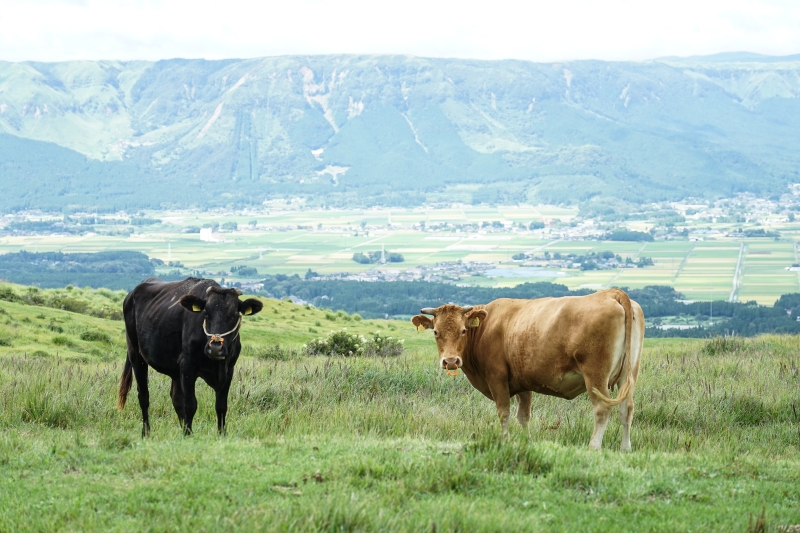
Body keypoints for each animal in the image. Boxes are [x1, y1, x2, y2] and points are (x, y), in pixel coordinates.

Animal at [119, 276, 262, 434]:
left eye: (234, 315)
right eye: (206, 313)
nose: (215, 348)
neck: (216, 364)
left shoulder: (229, 369)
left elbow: (221, 406)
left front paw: (221, 434)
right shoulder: (187, 365)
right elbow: (190, 404)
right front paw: (188, 435)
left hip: (175, 370)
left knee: (175, 398)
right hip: (136, 355)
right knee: (144, 395)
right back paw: (146, 432)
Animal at [412, 286, 644, 448]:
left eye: (462, 330)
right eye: (436, 332)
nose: (451, 361)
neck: (486, 327)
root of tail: (612, 293)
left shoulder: (497, 377)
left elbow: (504, 412)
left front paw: (503, 442)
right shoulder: (523, 382)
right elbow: (523, 416)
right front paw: (526, 442)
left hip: (596, 375)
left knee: (602, 409)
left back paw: (593, 447)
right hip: (628, 374)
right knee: (627, 408)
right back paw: (626, 448)